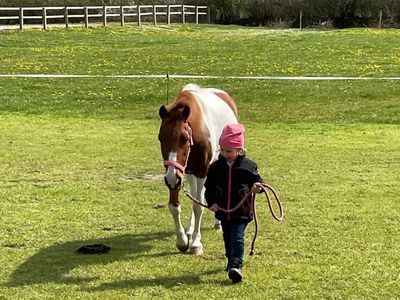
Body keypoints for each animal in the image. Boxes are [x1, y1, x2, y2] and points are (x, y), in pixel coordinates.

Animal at [158, 83, 239, 254]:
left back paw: (217, 224)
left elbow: (198, 206)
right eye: (160, 138)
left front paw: (195, 243)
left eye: (184, 138)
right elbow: (175, 206)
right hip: (189, 173)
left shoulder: (202, 171)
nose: (171, 177)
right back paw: (189, 229)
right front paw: (182, 240)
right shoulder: (179, 174)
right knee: (195, 193)